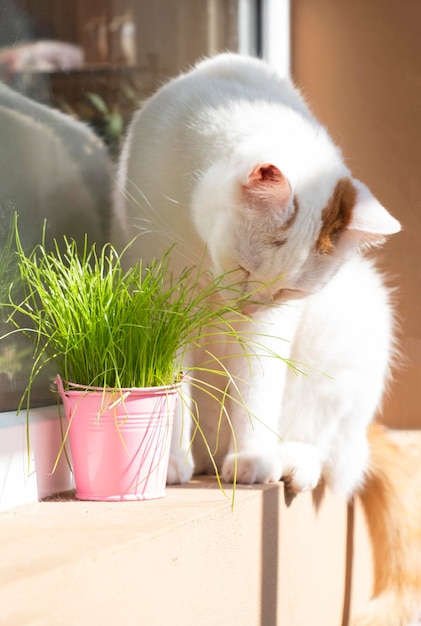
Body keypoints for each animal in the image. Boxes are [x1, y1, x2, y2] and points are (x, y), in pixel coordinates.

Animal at [113, 54, 418, 624]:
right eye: (243, 269)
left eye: (289, 290)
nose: (248, 306)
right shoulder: (157, 283)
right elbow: (167, 378)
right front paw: (165, 464)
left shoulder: (274, 324)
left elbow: (256, 381)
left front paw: (253, 457)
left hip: (357, 318)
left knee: (331, 450)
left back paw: (288, 460)